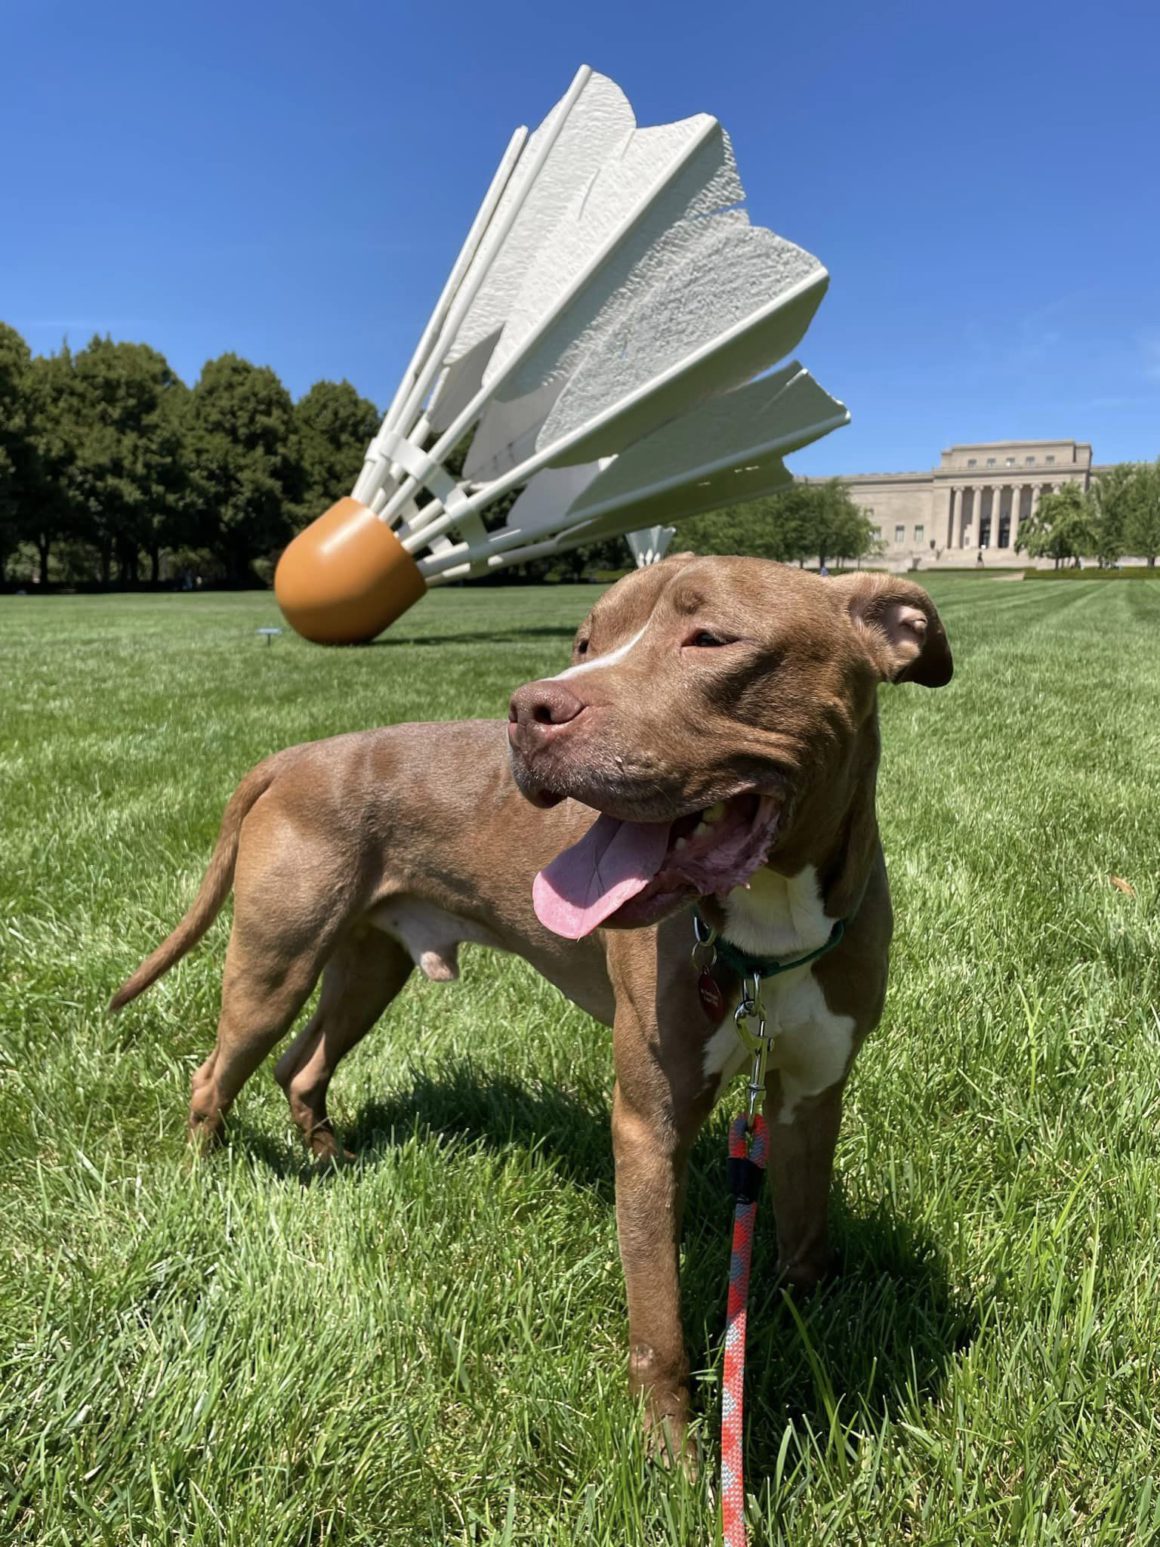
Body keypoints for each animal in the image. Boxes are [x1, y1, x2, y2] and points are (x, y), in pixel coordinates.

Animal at [111, 556, 952, 1447]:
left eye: (711, 637)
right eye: (585, 641)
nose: (529, 708)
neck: (769, 931)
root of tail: (296, 753)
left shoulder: (813, 1093)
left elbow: (805, 1226)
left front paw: (806, 1325)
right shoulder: (649, 1119)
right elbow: (657, 1320)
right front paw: (674, 1455)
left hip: (367, 967)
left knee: (300, 1066)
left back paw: (331, 1160)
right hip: (275, 965)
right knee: (215, 1073)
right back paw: (205, 1181)